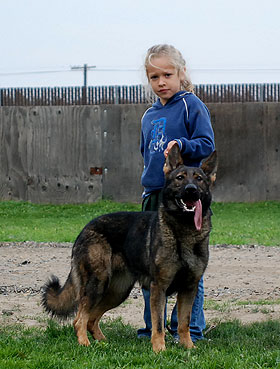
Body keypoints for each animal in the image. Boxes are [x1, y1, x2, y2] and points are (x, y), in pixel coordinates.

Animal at [41, 144, 218, 350]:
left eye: (199, 179)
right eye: (180, 178)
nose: (191, 190)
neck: (183, 230)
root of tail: (86, 228)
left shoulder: (189, 289)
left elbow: (184, 323)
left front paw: (188, 347)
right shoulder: (159, 287)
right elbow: (158, 324)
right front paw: (160, 350)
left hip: (118, 291)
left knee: (91, 319)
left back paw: (104, 343)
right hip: (97, 283)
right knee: (79, 319)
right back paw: (85, 343)